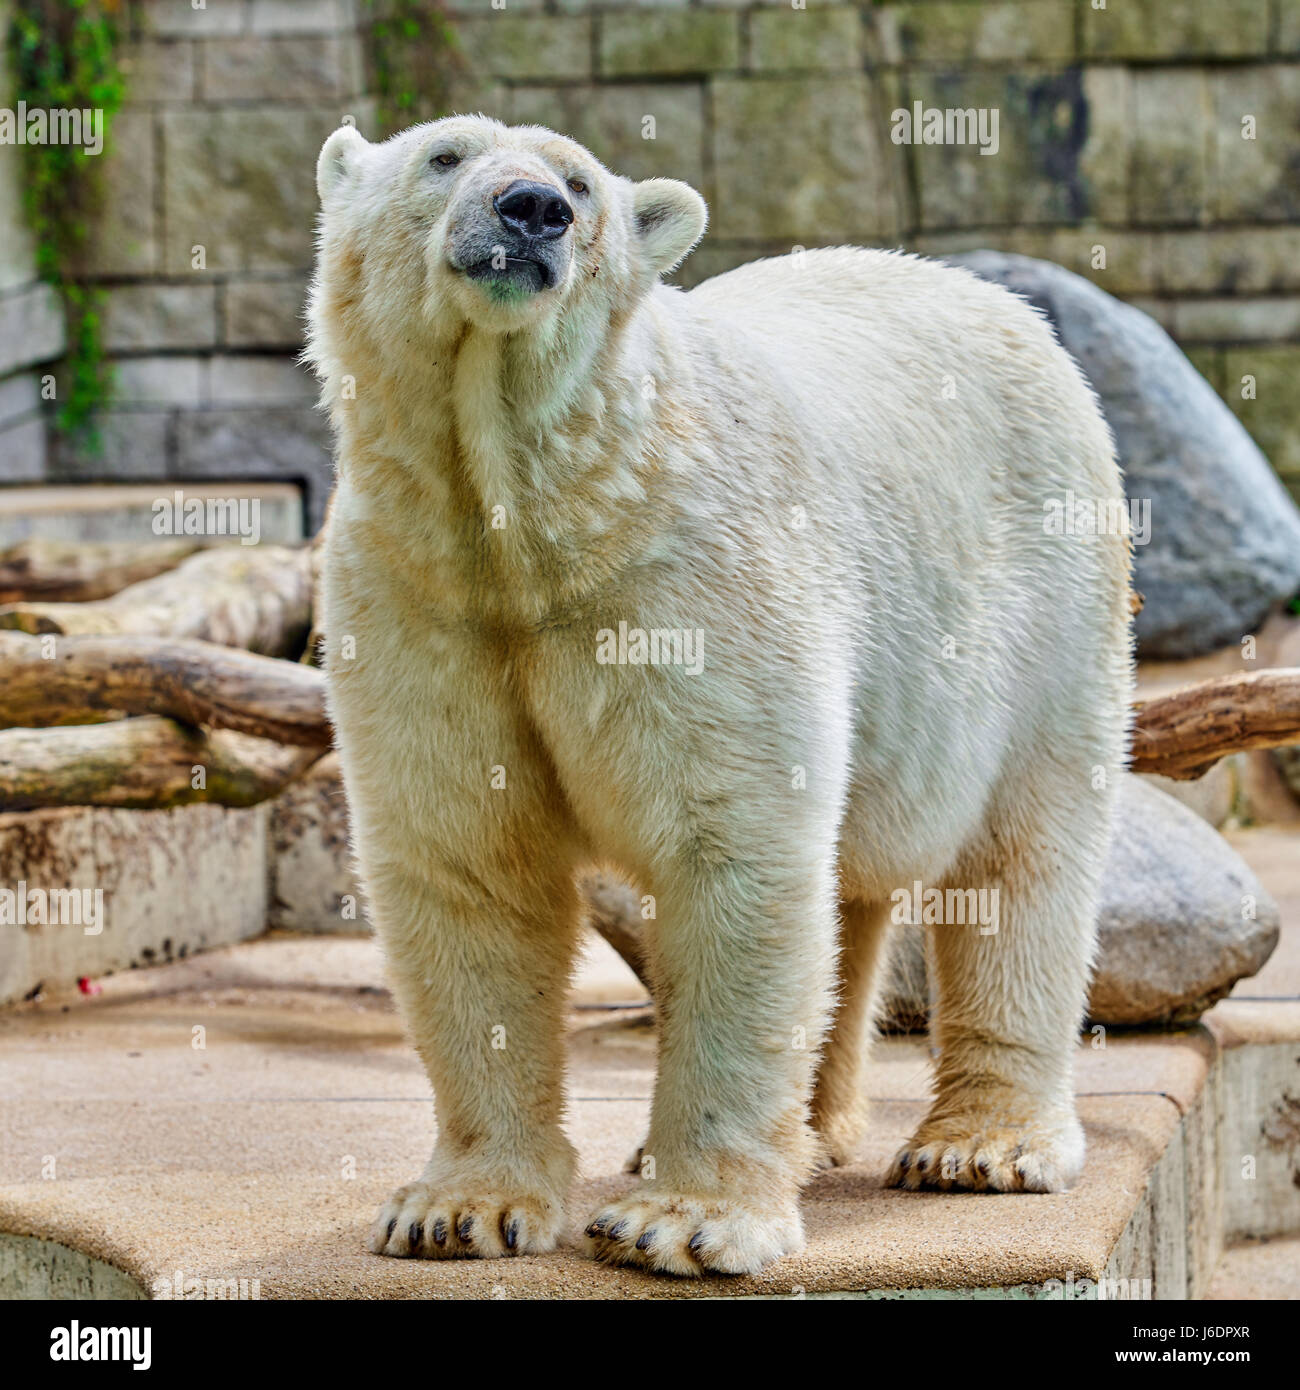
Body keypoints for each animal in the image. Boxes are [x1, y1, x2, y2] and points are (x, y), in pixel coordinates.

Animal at [306, 115, 1133, 1278]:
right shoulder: (421, 593)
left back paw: (981, 1144)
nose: (530, 210)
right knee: (854, 880)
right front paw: (457, 1209)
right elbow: (471, 863)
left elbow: (730, 848)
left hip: (1045, 605)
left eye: (579, 183)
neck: (543, 517)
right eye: (445, 154)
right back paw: (807, 1130)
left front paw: (686, 1220)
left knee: (1023, 852)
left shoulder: (685, 581)